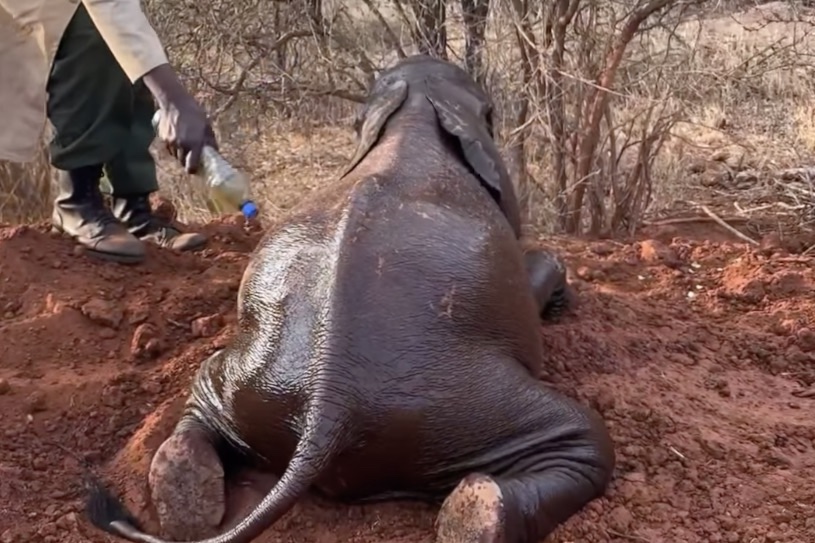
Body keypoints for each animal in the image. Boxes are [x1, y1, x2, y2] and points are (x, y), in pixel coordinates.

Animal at [86, 54, 615, 543]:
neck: (414, 111)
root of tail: (328, 404)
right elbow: (540, 268)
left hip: (242, 377)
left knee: (202, 393)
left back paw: (183, 490)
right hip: (465, 405)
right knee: (584, 439)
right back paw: (479, 513)